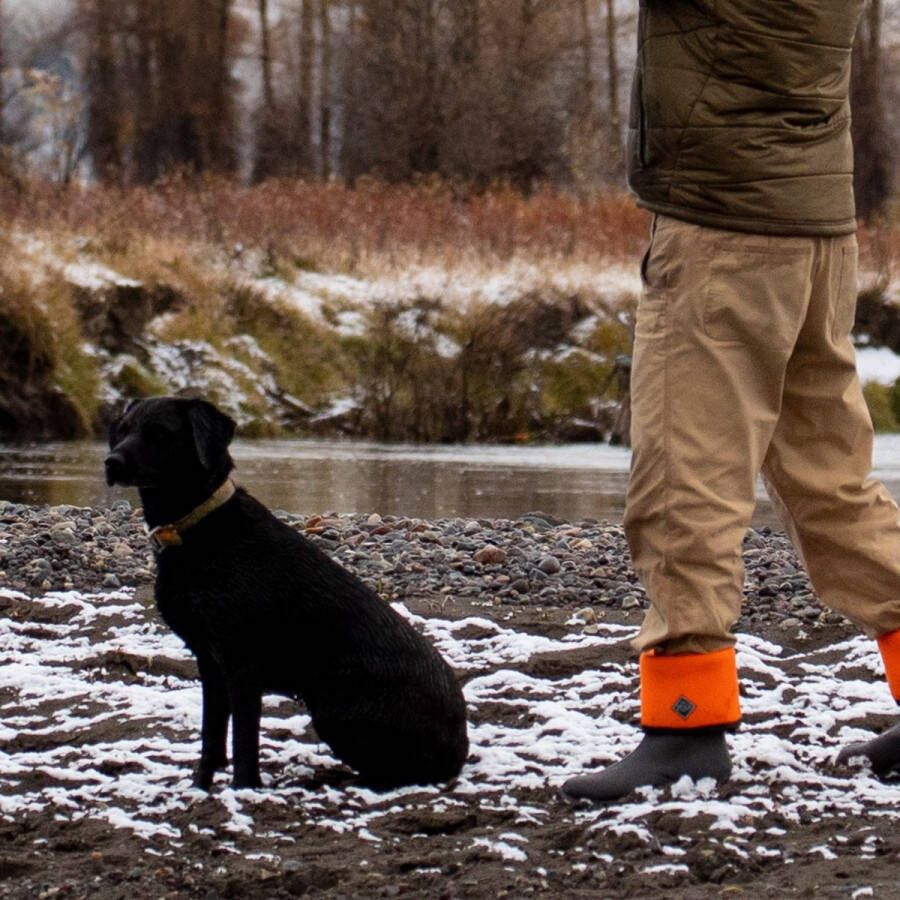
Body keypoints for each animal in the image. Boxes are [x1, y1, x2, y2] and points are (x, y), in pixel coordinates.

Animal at [103, 398, 472, 792]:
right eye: (123, 429)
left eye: (159, 433)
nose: (111, 462)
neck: (196, 528)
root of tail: (459, 746)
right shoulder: (209, 662)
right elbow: (211, 738)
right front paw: (200, 787)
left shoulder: (241, 666)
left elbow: (243, 744)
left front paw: (243, 791)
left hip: (332, 706)